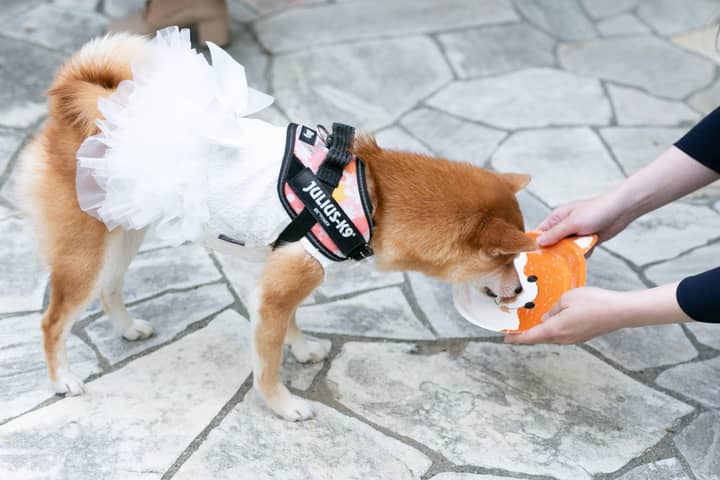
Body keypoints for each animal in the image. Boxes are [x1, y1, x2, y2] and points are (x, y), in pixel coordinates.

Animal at [18, 31, 536, 421]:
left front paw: (302, 349)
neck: (375, 197)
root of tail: (77, 100)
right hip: (87, 251)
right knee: (53, 320)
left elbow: (289, 324)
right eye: (505, 258)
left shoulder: (282, 271)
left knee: (109, 289)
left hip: (124, 231)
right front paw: (283, 406)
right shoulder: (280, 286)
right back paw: (63, 380)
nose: (519, 290)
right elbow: (267, 364)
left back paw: (127, 330)